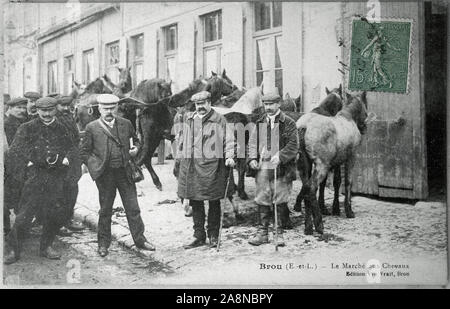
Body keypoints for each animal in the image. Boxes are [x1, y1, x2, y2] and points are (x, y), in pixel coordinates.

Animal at [298, 90, 368, 235]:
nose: (364, 128)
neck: (349, 117)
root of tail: (304, 126)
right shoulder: (351, 158)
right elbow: (348, 182)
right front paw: (348, 211)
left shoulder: (337, 162)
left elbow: (337, 182)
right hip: (322, 165)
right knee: (312, 188)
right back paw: (319, 224)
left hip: (305, 164)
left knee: (306, 187)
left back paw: (308, 226)